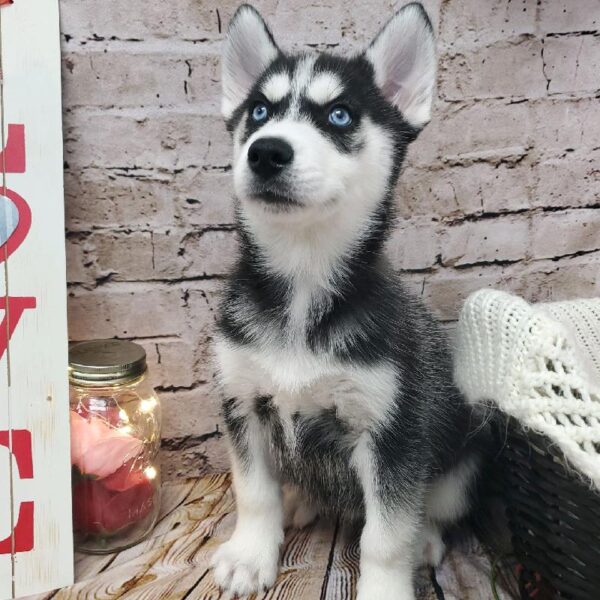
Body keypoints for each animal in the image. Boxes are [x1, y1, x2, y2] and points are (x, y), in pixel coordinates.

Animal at [211, 3, 488, 596]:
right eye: (259, 111)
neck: (304, 279)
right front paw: (250, 553)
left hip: (464, 460)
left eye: (339, 116)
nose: (266, 151)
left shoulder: (392, 434)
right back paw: (299, 503)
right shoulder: (242, 402)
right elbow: (253, 491)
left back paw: (426, 540)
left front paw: (386, 584)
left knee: (432, 513)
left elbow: (386, 535)